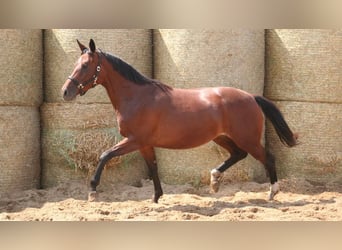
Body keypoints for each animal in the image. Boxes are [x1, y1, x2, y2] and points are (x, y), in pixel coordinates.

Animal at [62, 39, 298, 203]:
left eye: (85, 65)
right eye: (76, 63)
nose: (65, 92)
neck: (137, 97)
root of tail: (251, 97)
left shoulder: (134, 140)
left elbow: (105, 155)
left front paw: (92, 191)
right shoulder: (144, 144)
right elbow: (153, 168)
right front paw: (156, 197)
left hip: (246, 138)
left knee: (268, 158)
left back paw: (272, 192)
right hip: (221, 137)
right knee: (238, 154)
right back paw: (214, 180)